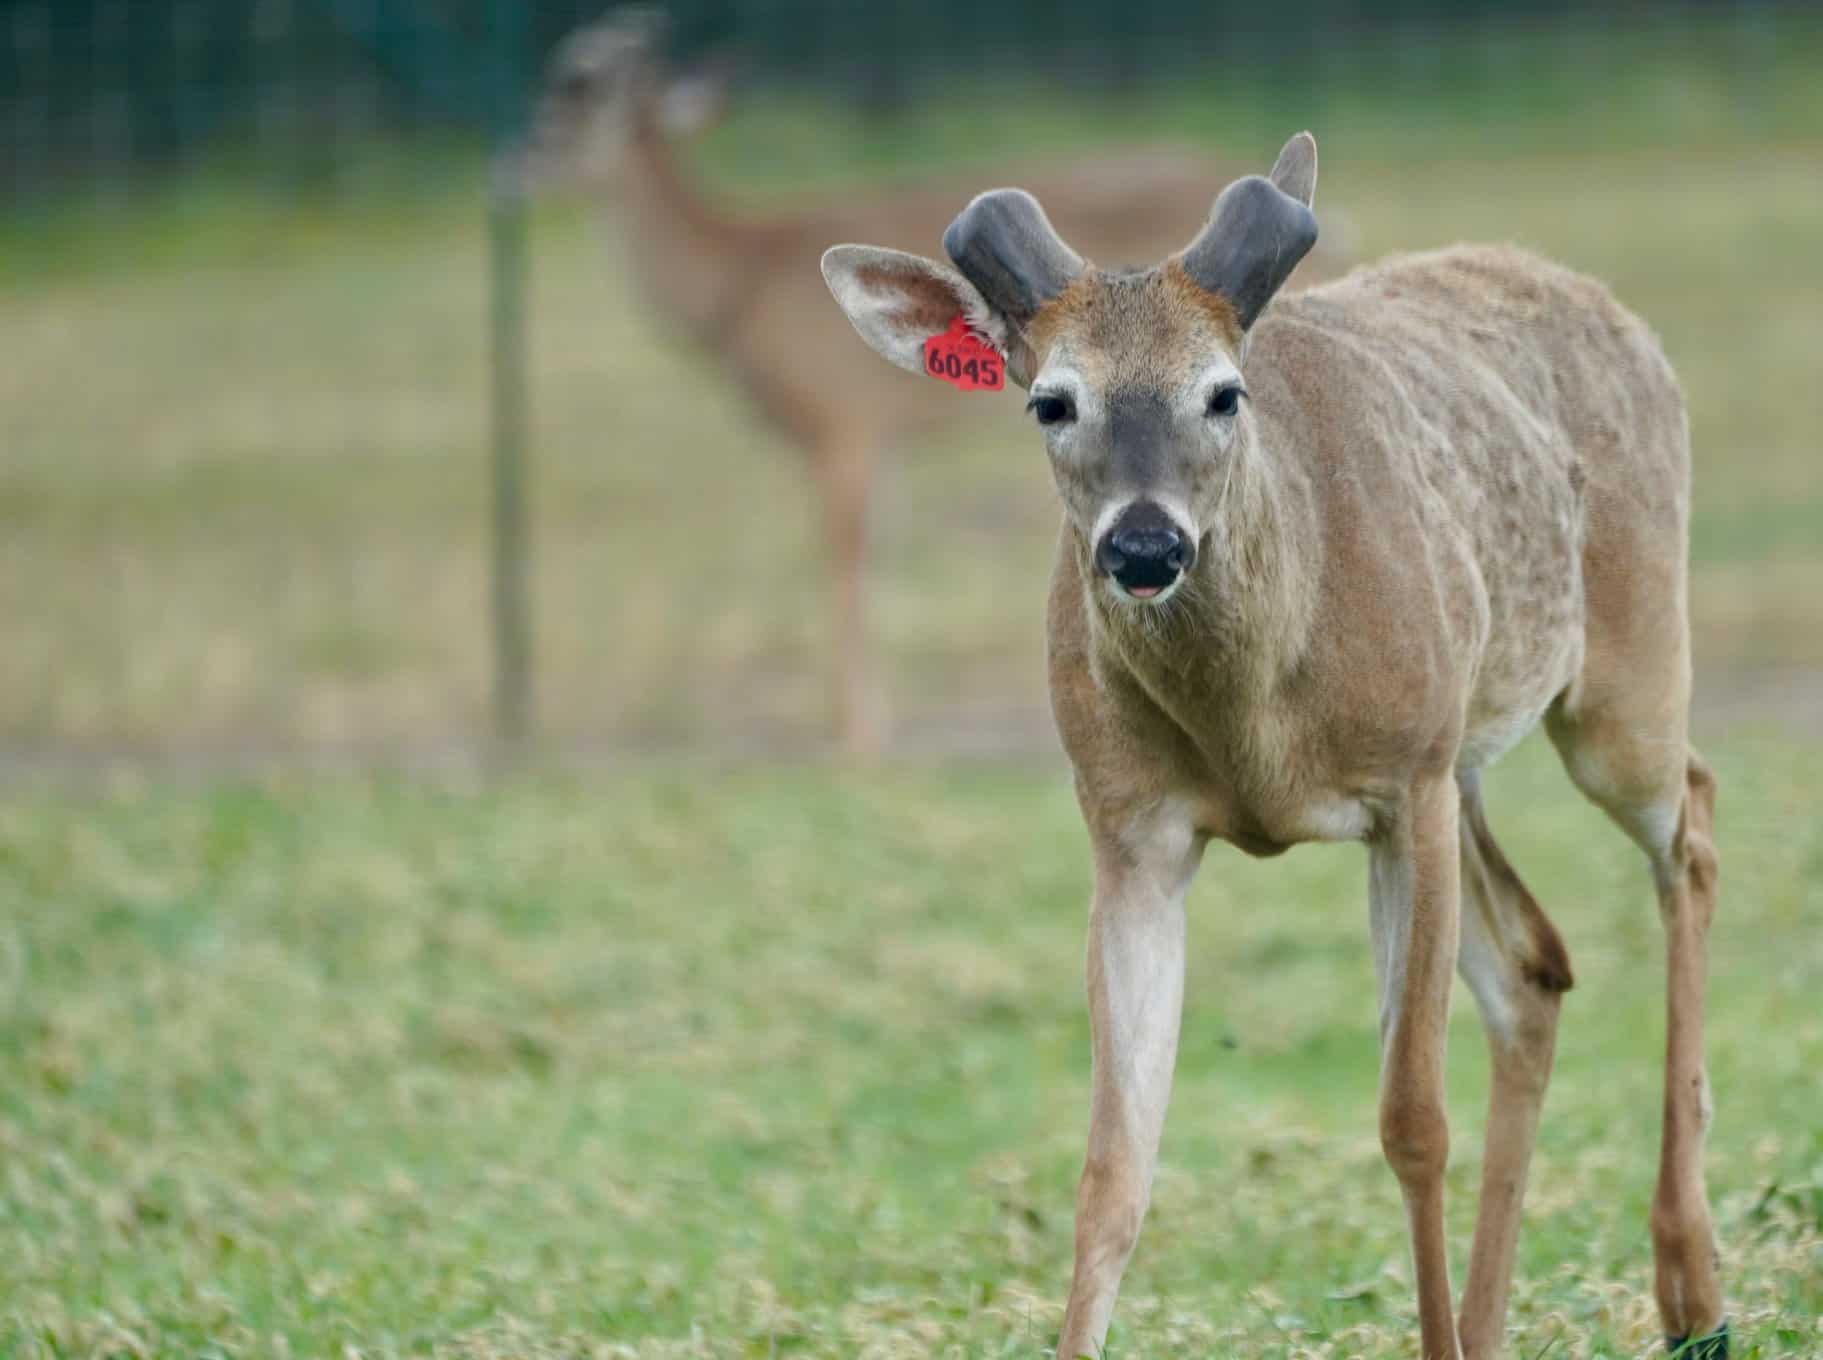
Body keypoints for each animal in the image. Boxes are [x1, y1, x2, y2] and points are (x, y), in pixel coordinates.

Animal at [532, 10, 1352, 755]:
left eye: (576, 105)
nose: (522, 164)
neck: (741, 279)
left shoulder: (844, 421)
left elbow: (845, 558)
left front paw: (859, 737)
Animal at [819, 132, 1729, 1358]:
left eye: (1222, 392)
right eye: (1050, 400)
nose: (1143, 545)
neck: (1255, 727)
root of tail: (1598, 301)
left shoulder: (1402, 784)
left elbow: (1411, 1119)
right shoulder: (1129, 828)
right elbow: (1113, 1166)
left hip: (1611, 688)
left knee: (1690, 825)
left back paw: (1690, 1286)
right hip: (1471, 759)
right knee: (1534, 965)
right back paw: (1499, 1322)